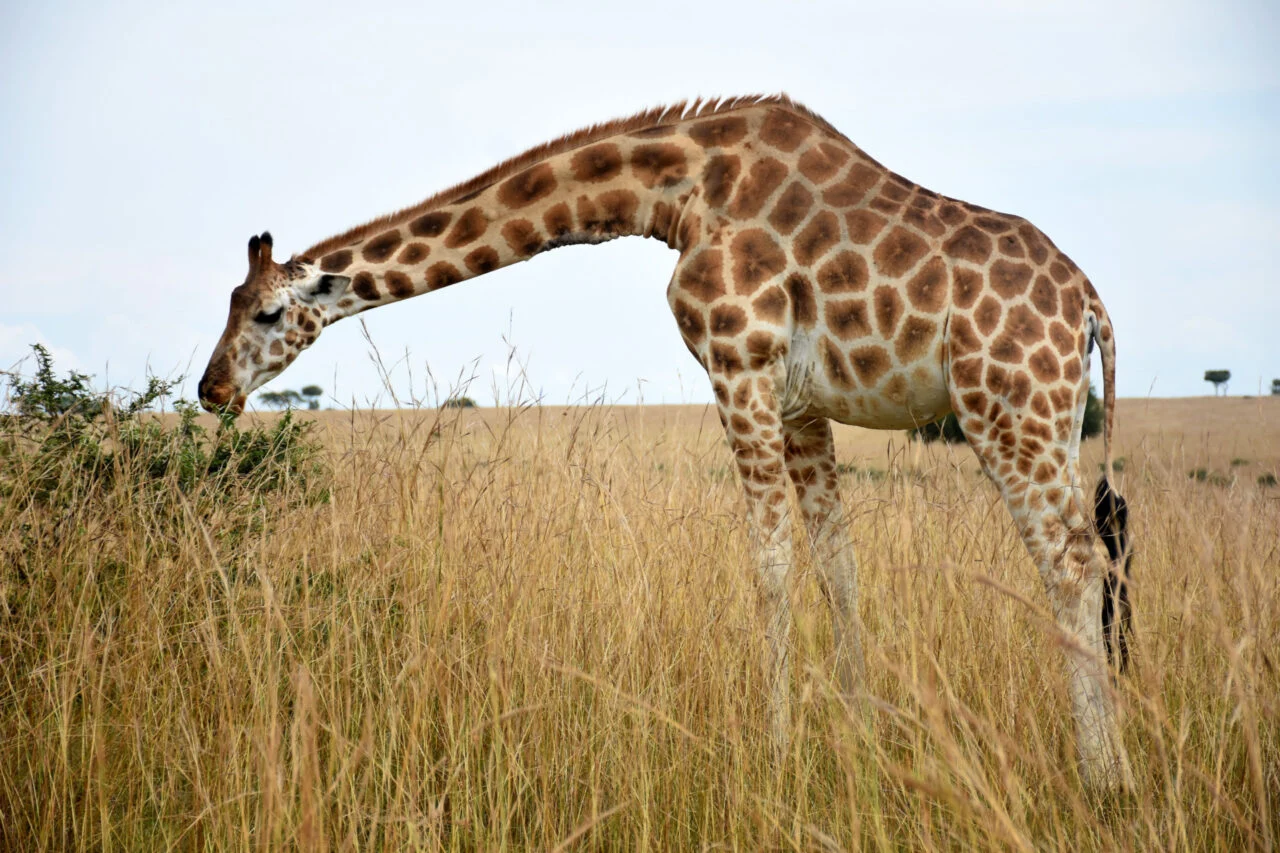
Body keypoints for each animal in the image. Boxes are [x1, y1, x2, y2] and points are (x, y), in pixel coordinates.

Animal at [198, 95, 1134, 788]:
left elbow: (770, 562)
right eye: (234, 304)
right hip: (1041, 415)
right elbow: (837, 562)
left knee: (1071, 559)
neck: (678, 192)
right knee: (1090, 554)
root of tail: (1092, 302)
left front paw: (776, 753)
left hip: (1008, 404)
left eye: (269, 313)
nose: (211, 390)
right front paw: (859, 736)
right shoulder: (801, 401)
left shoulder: (739, 363)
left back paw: (1102, 772)